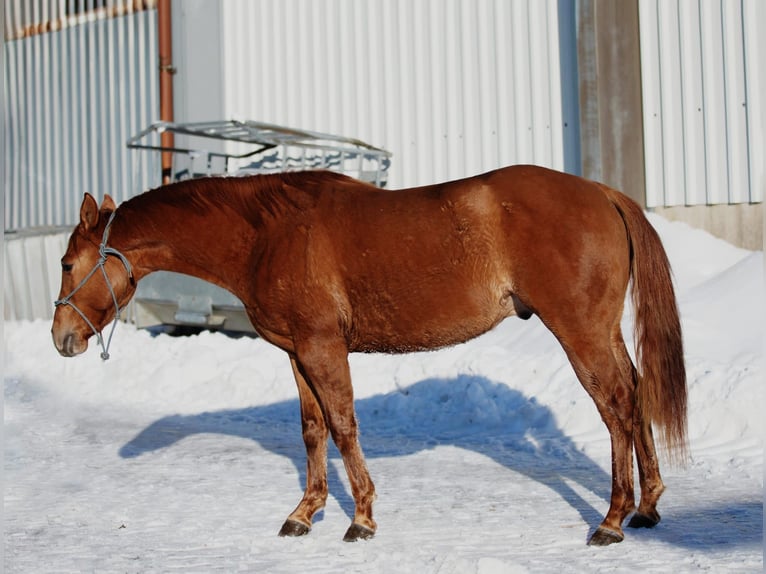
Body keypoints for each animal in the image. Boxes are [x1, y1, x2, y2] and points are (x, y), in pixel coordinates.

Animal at [51, 164, 687, 546]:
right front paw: (303, 513)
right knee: (635, 395)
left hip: (580, 333)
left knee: (616, 407)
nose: (62, 338)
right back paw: (648, 507)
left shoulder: (322, 347)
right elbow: (313, 430)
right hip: (602, 332)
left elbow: (343, 425)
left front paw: (360, 518)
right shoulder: (296, 352)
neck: (268, 233)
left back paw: (612, 520)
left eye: (66, 262)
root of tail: (602, 194)